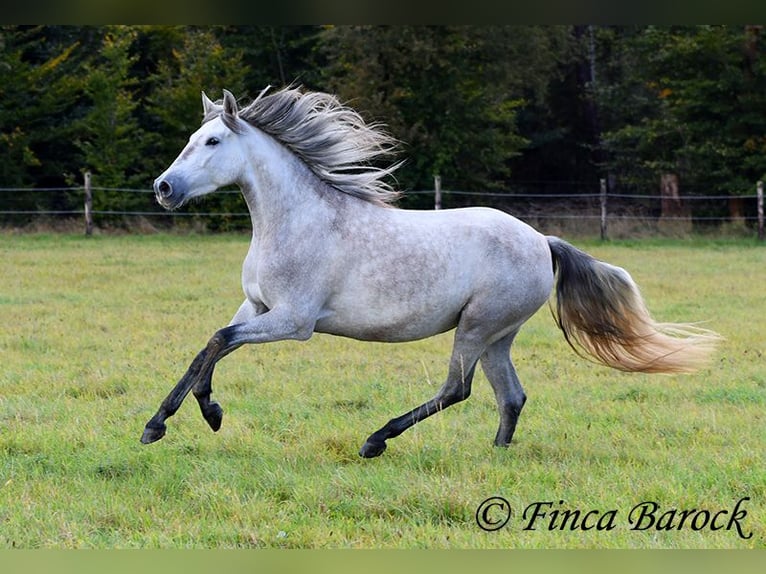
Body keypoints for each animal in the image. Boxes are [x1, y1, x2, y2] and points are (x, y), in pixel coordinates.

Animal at [141, 85, 724, 460]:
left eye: (213, 142)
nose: (163, 188)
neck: (297, 220)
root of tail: (542, 241)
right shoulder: (258, 307)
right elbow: (211, 346)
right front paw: (187, 417)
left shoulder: (293, 320)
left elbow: (218, 341)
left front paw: (176, 422)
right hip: (497, 335)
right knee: (510, 396)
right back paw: (496, 455)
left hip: (476, 327)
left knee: (457, 389)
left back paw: (376, 441)